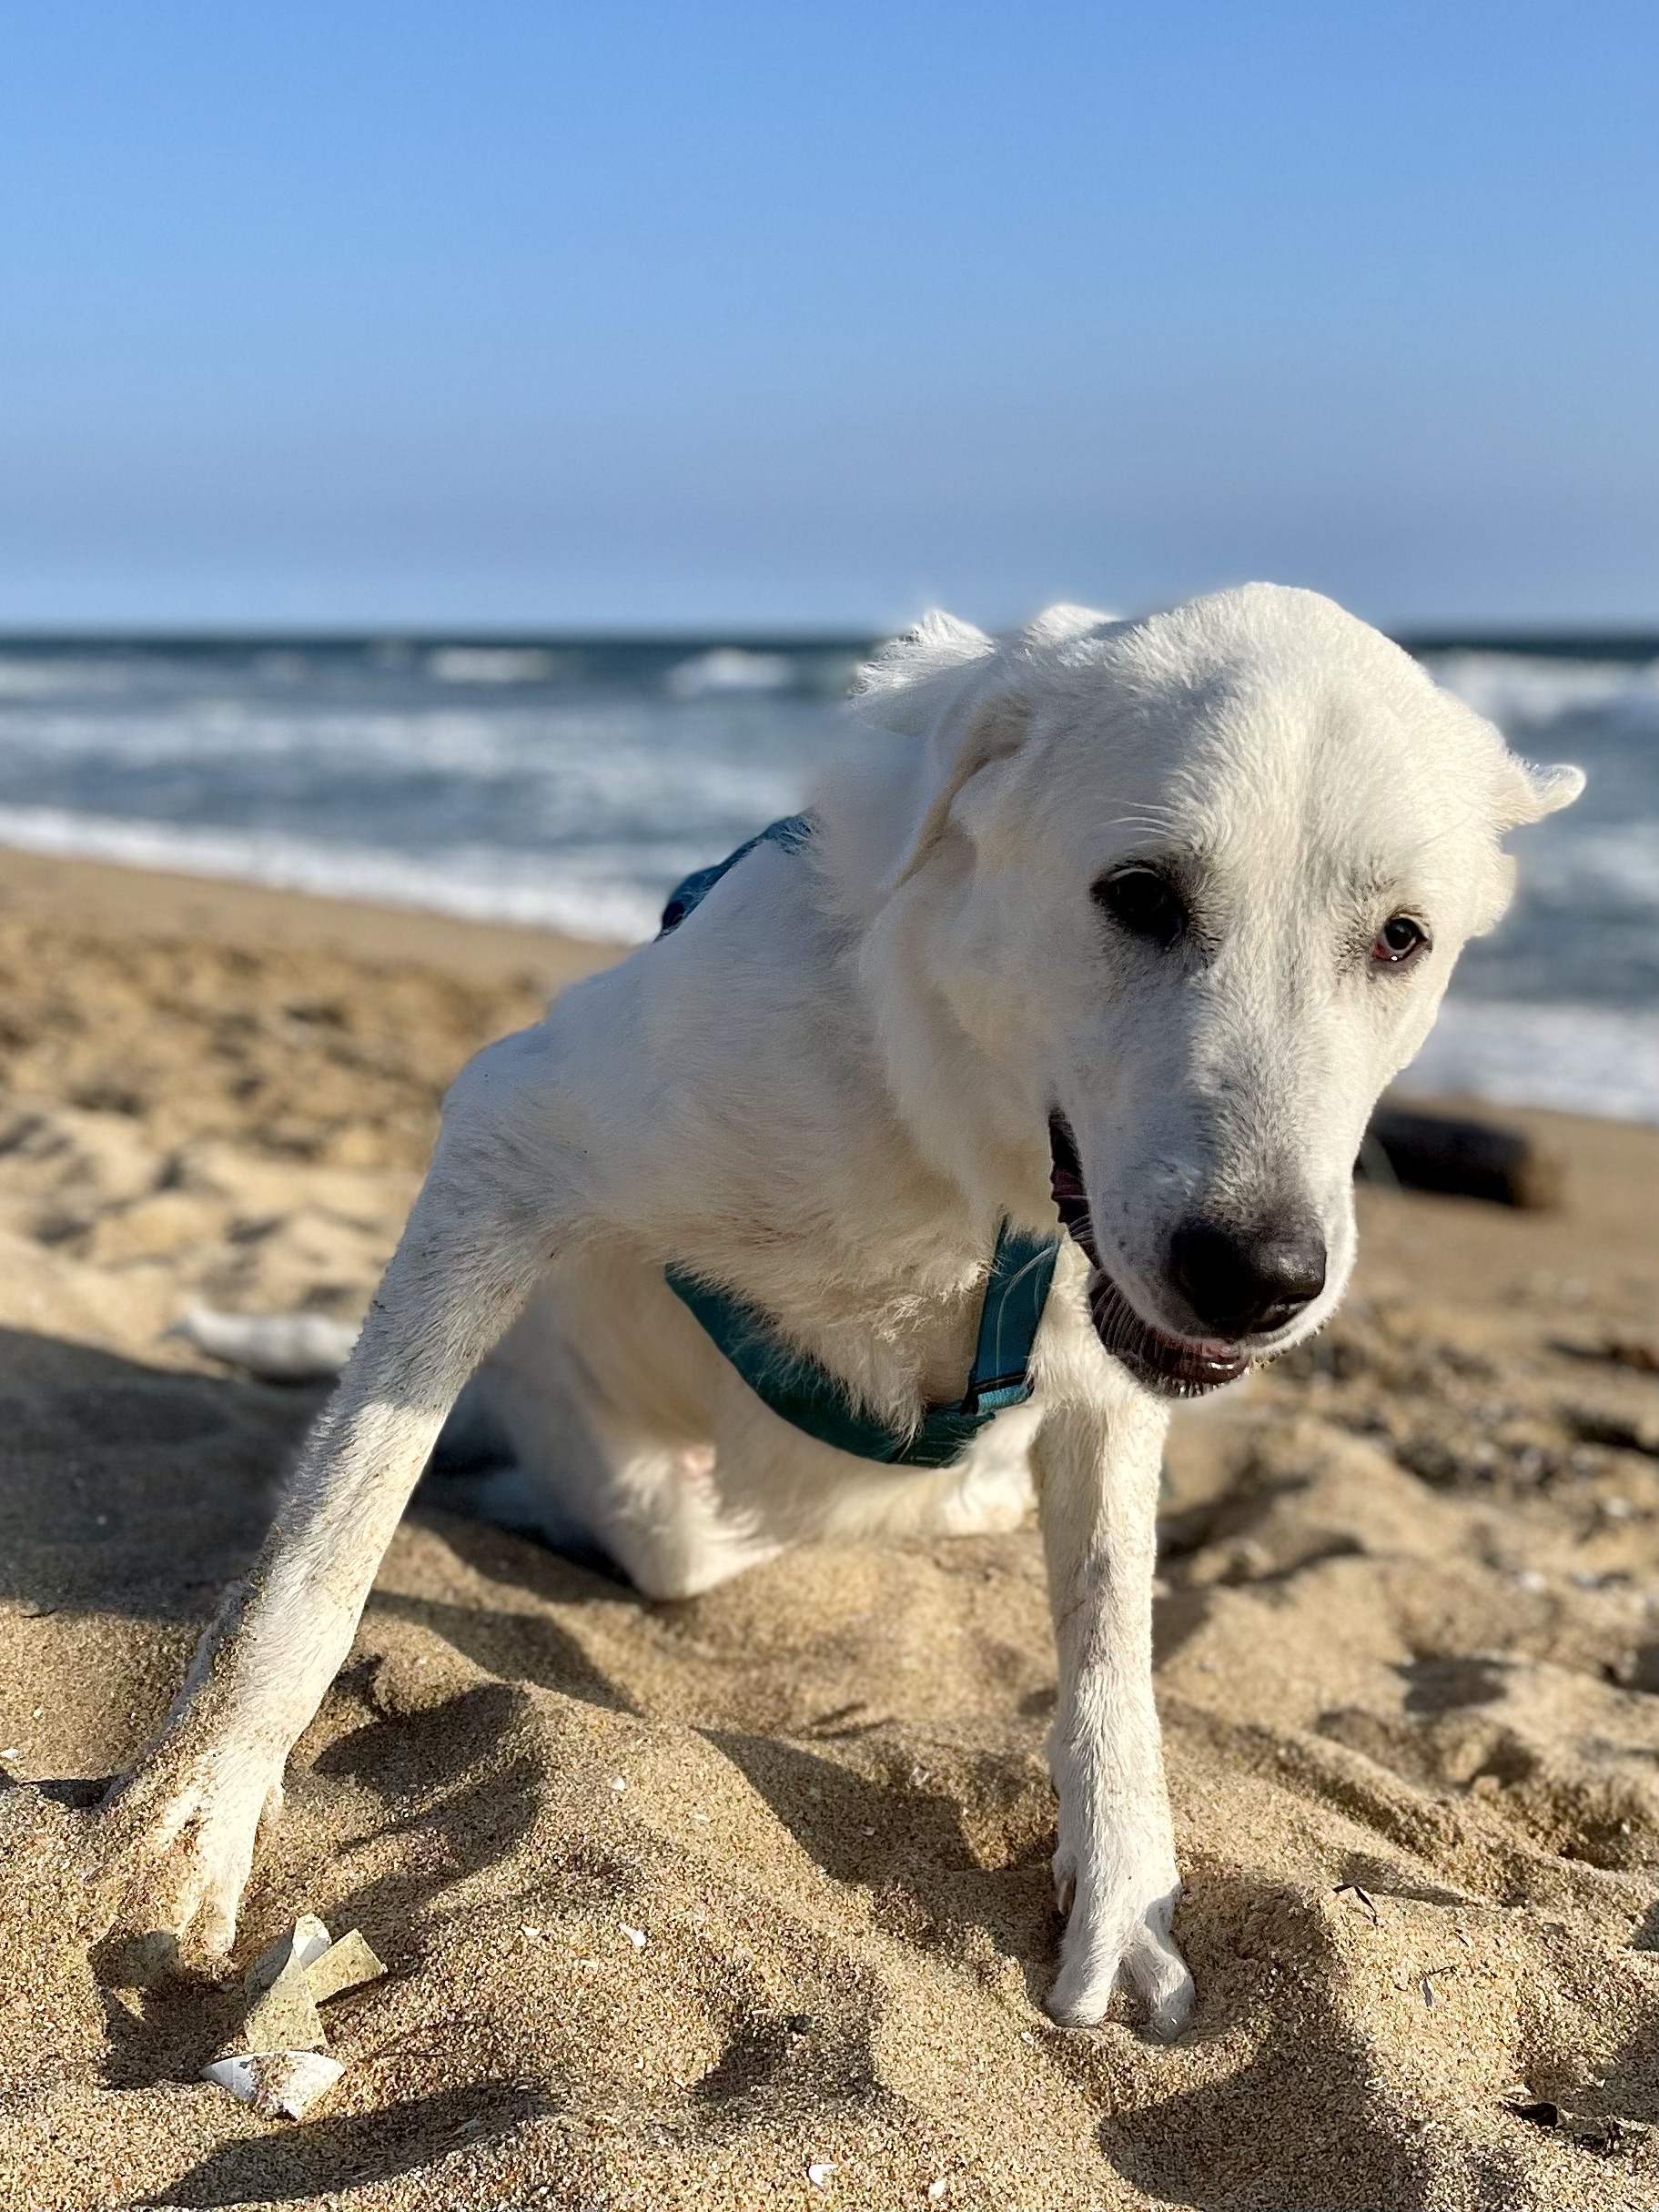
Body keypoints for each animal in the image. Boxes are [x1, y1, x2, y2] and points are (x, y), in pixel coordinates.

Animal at [81, 583, 1583, 2025]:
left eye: (1399, 938)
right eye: (1139, 894)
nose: (1257, 1276)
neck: (962, 1148)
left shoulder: (1109, 1367)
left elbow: (1113, 1646)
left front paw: (1122, 1892)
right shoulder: (507, 1129)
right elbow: (326, 1549)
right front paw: (195, 1813)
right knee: (643, 1517)